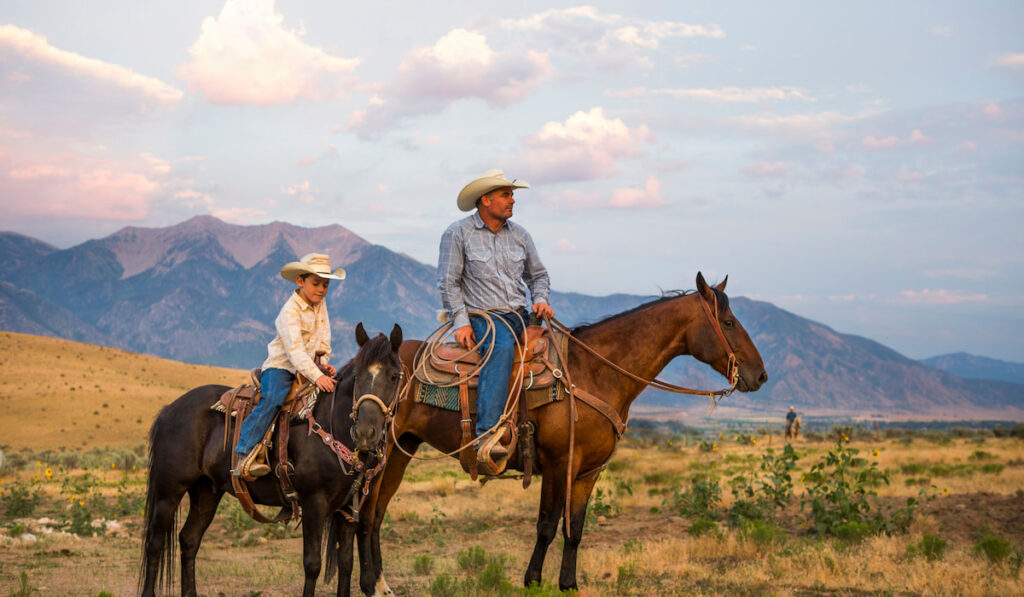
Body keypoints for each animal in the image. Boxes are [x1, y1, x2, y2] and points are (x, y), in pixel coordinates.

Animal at [141, 325, 403, 597]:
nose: (365, 434)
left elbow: (346, 562)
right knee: (155, 543)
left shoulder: (348, 509)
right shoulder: (313, 503)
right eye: (358, 376)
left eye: (394, 376)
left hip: (206, 491)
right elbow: (313, 564)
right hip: (169, 491)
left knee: (189, 540)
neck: (332, 427)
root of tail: (169, 410)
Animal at [356, 274, 765, 593]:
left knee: (377, 514)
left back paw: (382, 584)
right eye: (728, 322)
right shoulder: (558, 464)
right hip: (381, 453)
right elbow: (547, 526)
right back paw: (368, 584)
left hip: (402, 450)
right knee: (366, 515)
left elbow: (576, 528)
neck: (594, 372)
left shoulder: (587, 471)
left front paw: (569, 584)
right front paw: (533, 581)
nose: (759, 375)